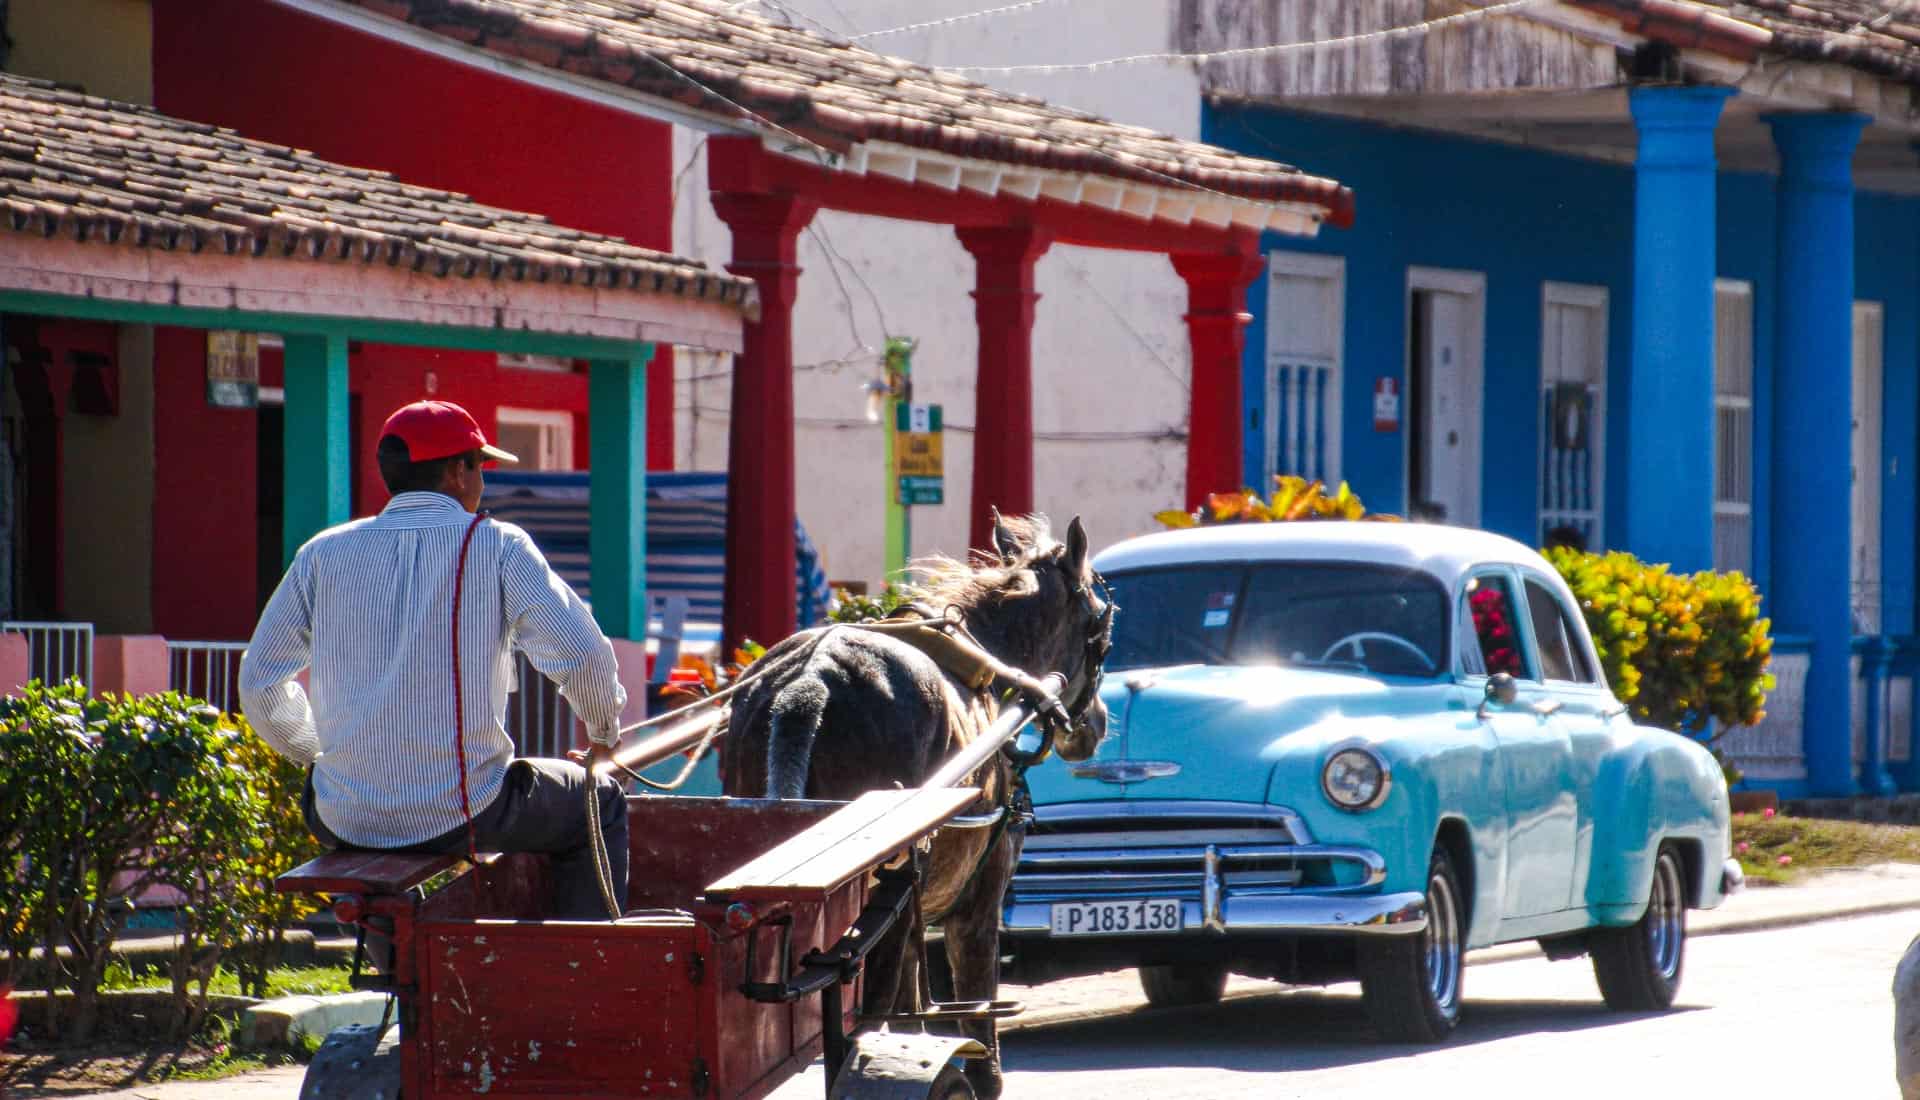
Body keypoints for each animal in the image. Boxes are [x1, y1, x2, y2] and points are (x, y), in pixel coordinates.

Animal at [721, 510, 1113, 1090]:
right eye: (1100, 630)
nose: (1095, 725)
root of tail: (811, 681)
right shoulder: (977, 905)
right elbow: (977, 1033)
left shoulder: (910, 913)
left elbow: (911, 1012)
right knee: (871, 1017)